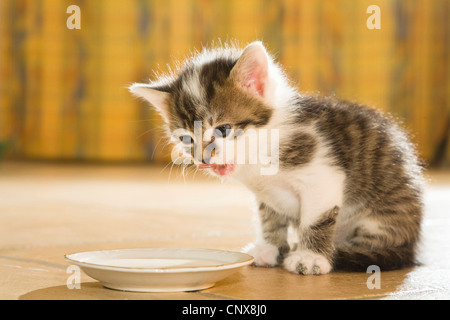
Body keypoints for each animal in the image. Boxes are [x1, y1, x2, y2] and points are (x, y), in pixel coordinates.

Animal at [129, 41, 422, 274]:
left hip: (382, 216)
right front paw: (270, 248)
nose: (203, 159)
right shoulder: (266, 192)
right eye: (186, 139)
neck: (258, 155)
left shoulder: (323, 174)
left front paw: (310, 257)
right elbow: (269, 217)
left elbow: (316, 219)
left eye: (223, 129)